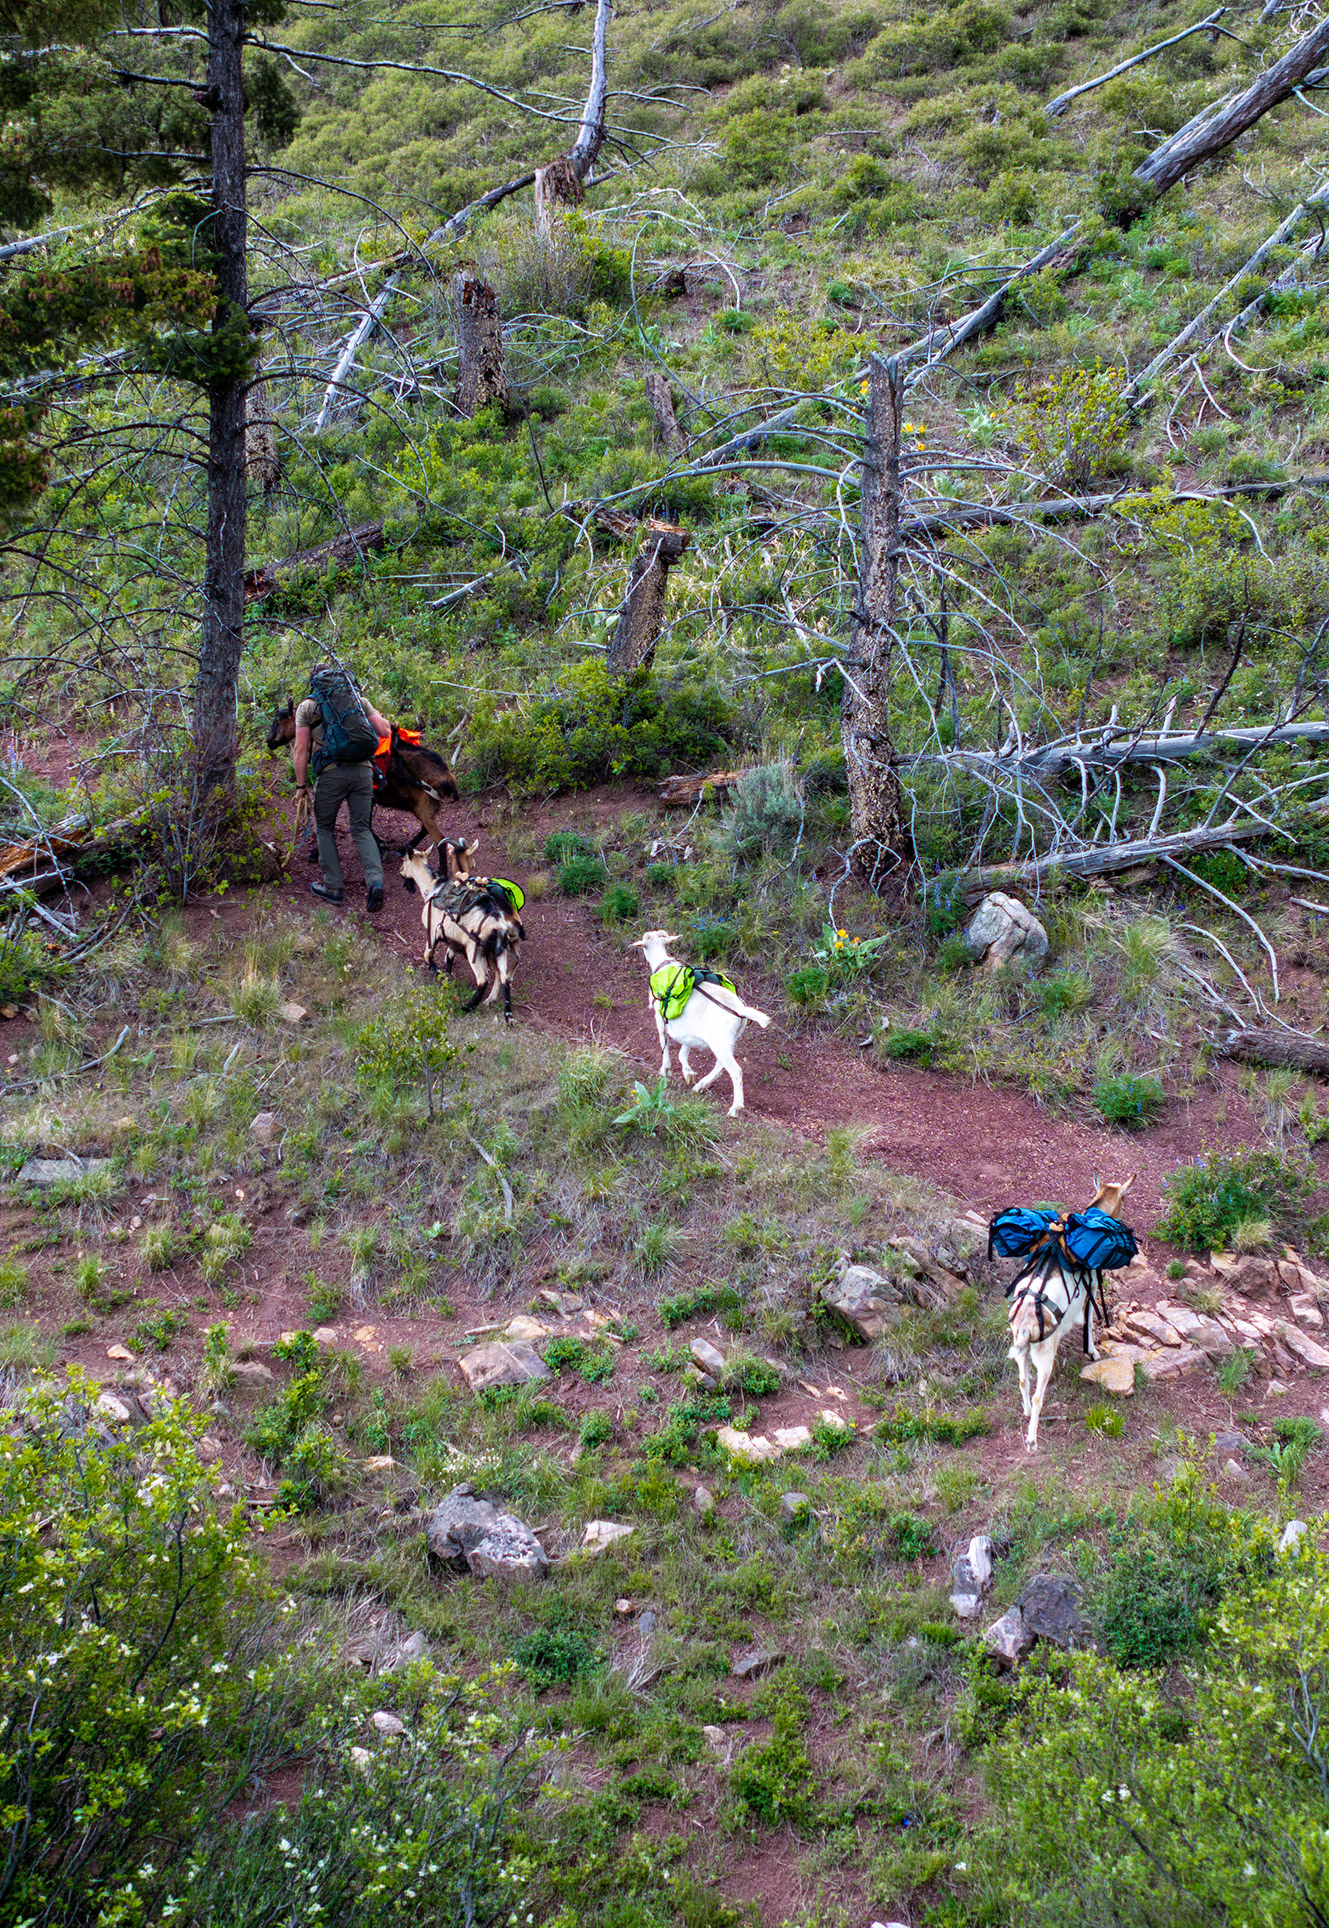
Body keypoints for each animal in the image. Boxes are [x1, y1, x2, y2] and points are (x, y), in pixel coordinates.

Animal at [399, 839, 526, 1020]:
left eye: (404, 860)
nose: (401, 871)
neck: (433, 887)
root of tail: (499, 925)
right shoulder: (453, 940)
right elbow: (449, 959)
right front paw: (446, 979)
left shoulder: (432, 932)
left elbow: (427, 956)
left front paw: (438, 973)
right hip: (499, 952)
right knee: (504, 978)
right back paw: (506, 1014)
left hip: (475, 951)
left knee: (483, 979)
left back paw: (467, 1007)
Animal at [630, 929, 771, 1117]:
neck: (663, 966)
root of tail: (740, 1010)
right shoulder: (687, 1031)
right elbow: (683, 1052)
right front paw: (688, 1073)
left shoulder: (661, 1023)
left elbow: (665, 1047)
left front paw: (664, 1071)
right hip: (728, 1040)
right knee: (720, 1065)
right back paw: (700, 1085)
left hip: (720, 1041)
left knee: (735, 1071)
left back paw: (734, 1108)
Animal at [1006, 1172, 1136, 1453]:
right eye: (1124, 1198)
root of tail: (1026, 1322)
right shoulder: (1091, 1290)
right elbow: (1088, 1321)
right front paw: (1092, 1352)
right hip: (1044, 1356)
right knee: (1038, 1395)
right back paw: (1032, 1439)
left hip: (1021, 1350)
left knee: (1022, 1381)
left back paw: (1025, 1413)